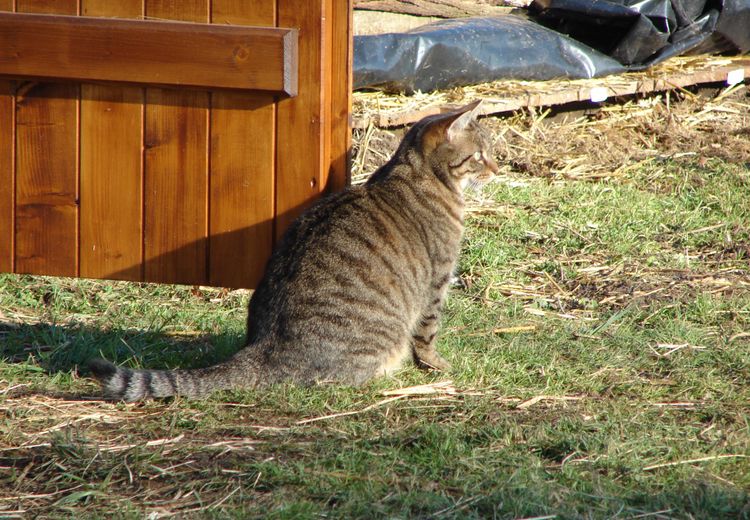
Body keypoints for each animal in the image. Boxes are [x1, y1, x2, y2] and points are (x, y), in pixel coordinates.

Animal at [88, 101, 500, 402]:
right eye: (480, 155)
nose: (497, 168)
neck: (418, 175)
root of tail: (263, 346)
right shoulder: (437, 281)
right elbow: (428, 333)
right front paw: (436, 365)